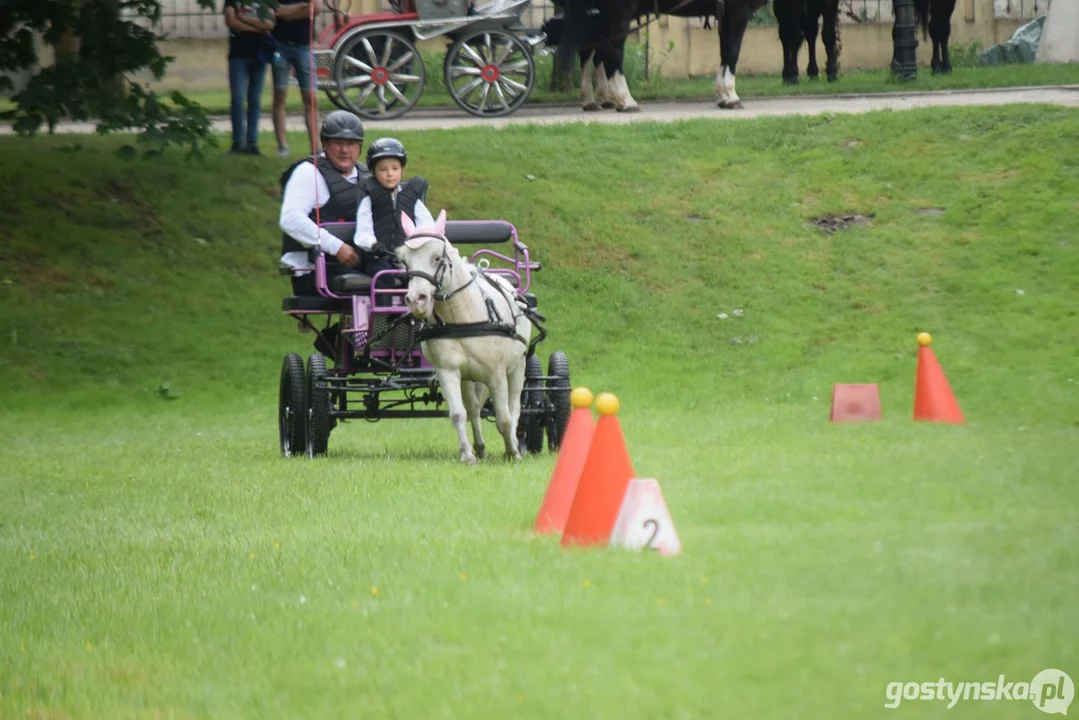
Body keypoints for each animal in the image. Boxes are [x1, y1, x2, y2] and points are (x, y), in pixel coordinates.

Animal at [394, 211, 533, 464]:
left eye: (436, 258)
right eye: (405, 261)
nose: (417, 300)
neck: (461, 318)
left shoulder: (496, 373)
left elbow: (504, 417)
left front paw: (513, 451)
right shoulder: (448, 371)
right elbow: (459, 413)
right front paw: (467, 454)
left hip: (518, 365)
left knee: (514, 404)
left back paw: (515, 445)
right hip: (469, 377)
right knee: (474, 409)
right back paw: (480, 447)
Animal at [548, 0, 768, 110]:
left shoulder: (724, 14)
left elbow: (724, 52)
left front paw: (723, 94)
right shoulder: (738, 10)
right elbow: (732, 52)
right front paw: (730, 95)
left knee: (589, 50)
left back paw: (591, 99)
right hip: (618, 14)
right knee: (612, 52)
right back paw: (625, 100)